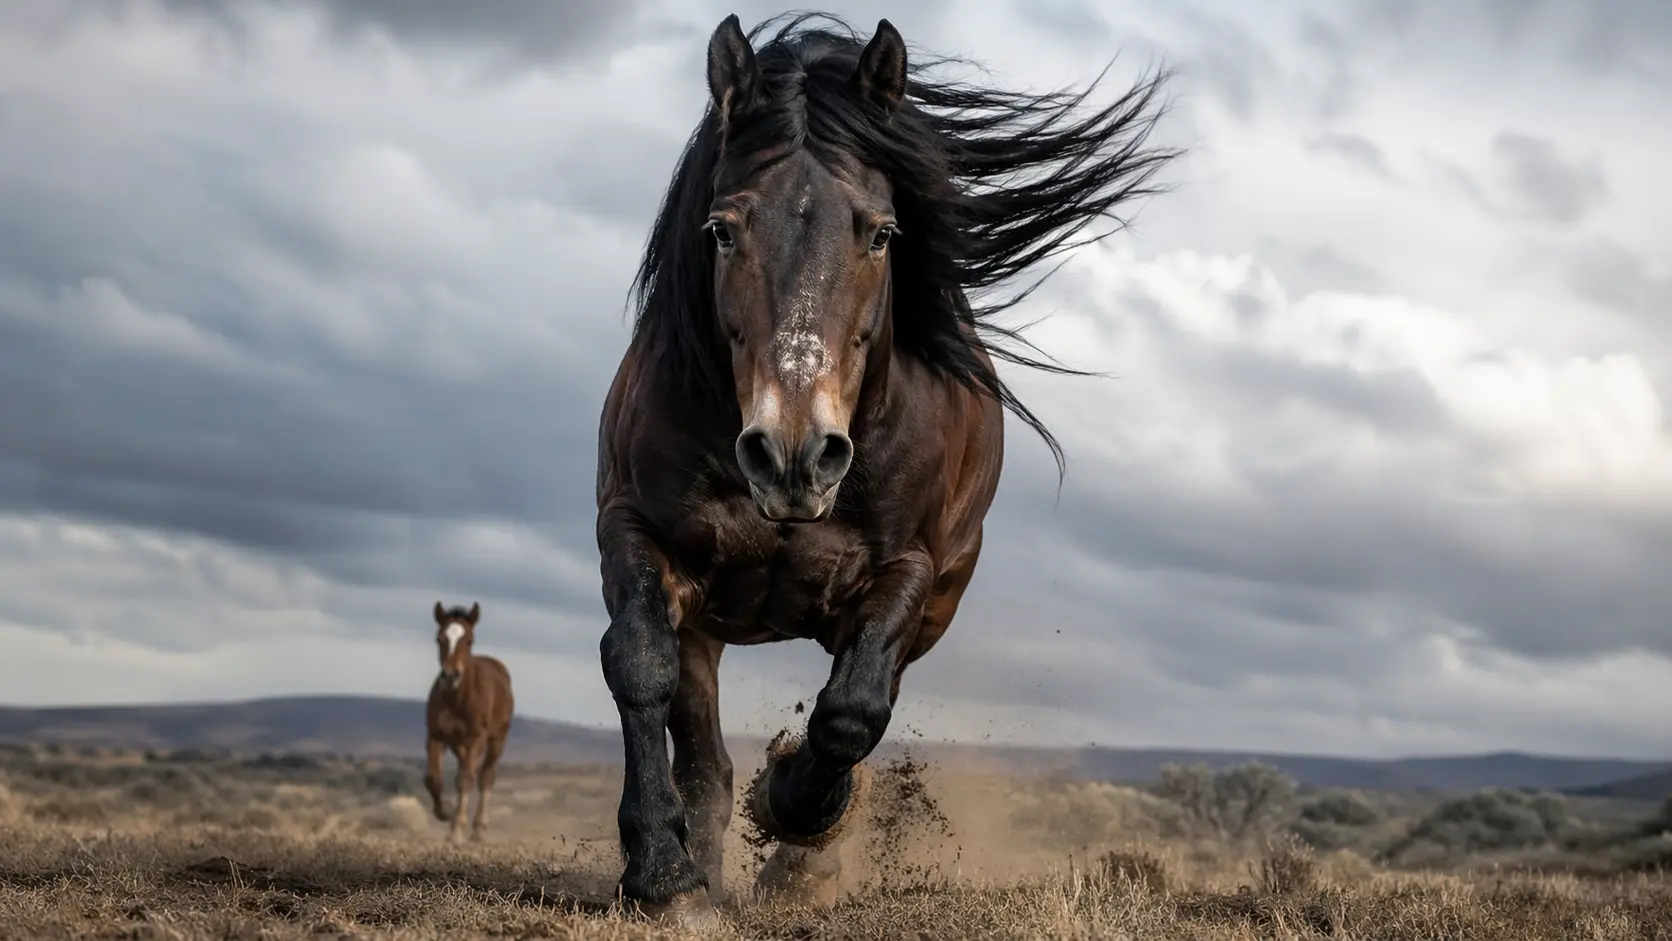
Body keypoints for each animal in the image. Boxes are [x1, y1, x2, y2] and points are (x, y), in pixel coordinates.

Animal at [423, 601, 514, 843]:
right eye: (439, 638)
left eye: (469, 640)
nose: (450, 675)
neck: (458, 699)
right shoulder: (436, 736)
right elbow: (433, 779)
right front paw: (445, 811)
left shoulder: (475, 738)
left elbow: (465, 780)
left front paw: (456, 831)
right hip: (458, 744)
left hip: (496, 740)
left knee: (485, 777)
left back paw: (479, 829)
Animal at [594, 11, 1176, 923]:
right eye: (722, 230)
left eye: (880, 231)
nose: (794, 454)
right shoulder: (635, 530)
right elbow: (639, 662)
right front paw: (664, 875)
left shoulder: (908, 567)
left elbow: (852, 712)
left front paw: (790, 813)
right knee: (702, 750)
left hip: (936, 600)